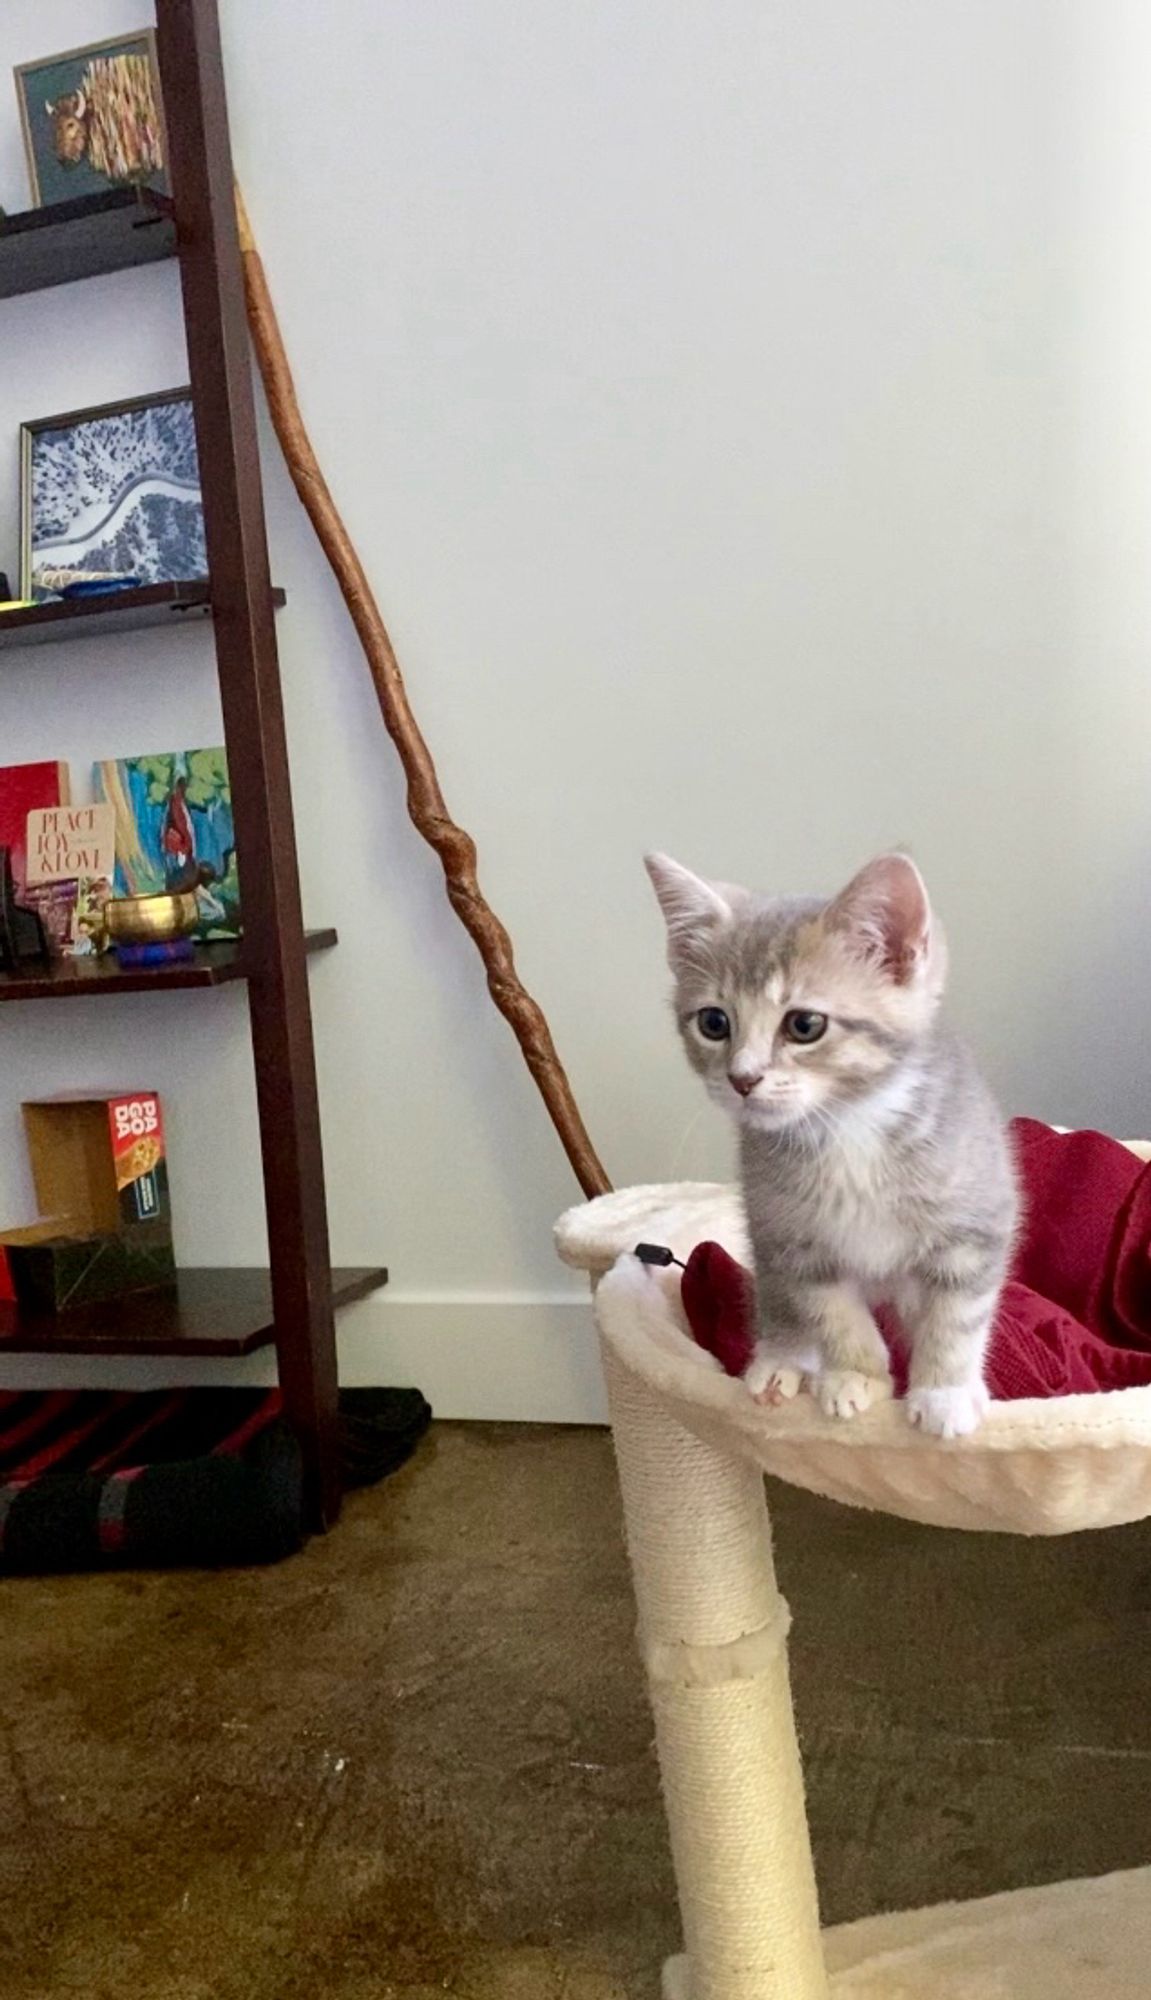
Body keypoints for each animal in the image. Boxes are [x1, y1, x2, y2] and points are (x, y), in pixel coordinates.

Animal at [647, 856, 1015, 1440]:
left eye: (804, 1025)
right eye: (713, 1022)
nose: (742, 1078)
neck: (848, 1129)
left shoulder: (974, 1225)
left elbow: (956, 1315)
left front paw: (945, 1391)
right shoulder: (795, 1246)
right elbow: (834, 1315)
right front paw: (855, 1376)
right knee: (777, 1301)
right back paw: (781, 1357)